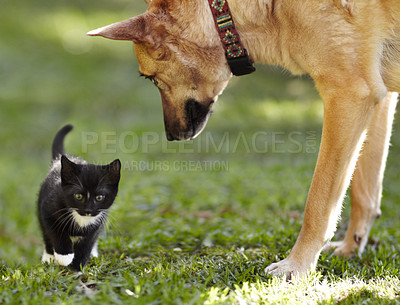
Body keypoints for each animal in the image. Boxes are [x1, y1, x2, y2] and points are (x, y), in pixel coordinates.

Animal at [38, 124, 121, 270]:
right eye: (78, 196)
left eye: (99, 197)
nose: (88, 210)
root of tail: (59, 160)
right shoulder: (47, 209)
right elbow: (55, 231)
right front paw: (64, 256)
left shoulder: (98, 222)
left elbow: (87, 243)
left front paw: (77, 266)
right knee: (45, 233)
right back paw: (49, 256)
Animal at [87, 0, 400, 278]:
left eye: (150, 78)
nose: (171, 136)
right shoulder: (376, 96)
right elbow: (365, 191)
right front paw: (351, 248)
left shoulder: (347, 93)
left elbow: (319, 201)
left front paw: (297, 265)